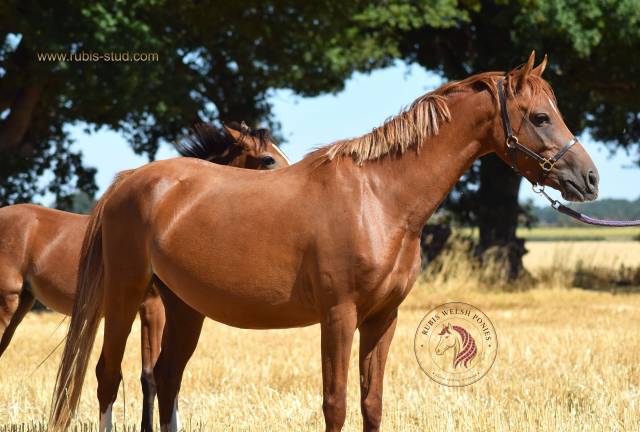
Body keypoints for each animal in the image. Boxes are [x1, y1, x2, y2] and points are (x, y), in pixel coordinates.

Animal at [49, 52, 599, 432]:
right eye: (540, 117)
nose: (590, 179)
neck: (380, 198)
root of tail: (128, 182)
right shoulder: (339, 316)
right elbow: (335, 404)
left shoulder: (382, 318)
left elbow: (371, 402)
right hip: (124, 296)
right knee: (108, 376)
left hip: (184, 307)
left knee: (165, 379)